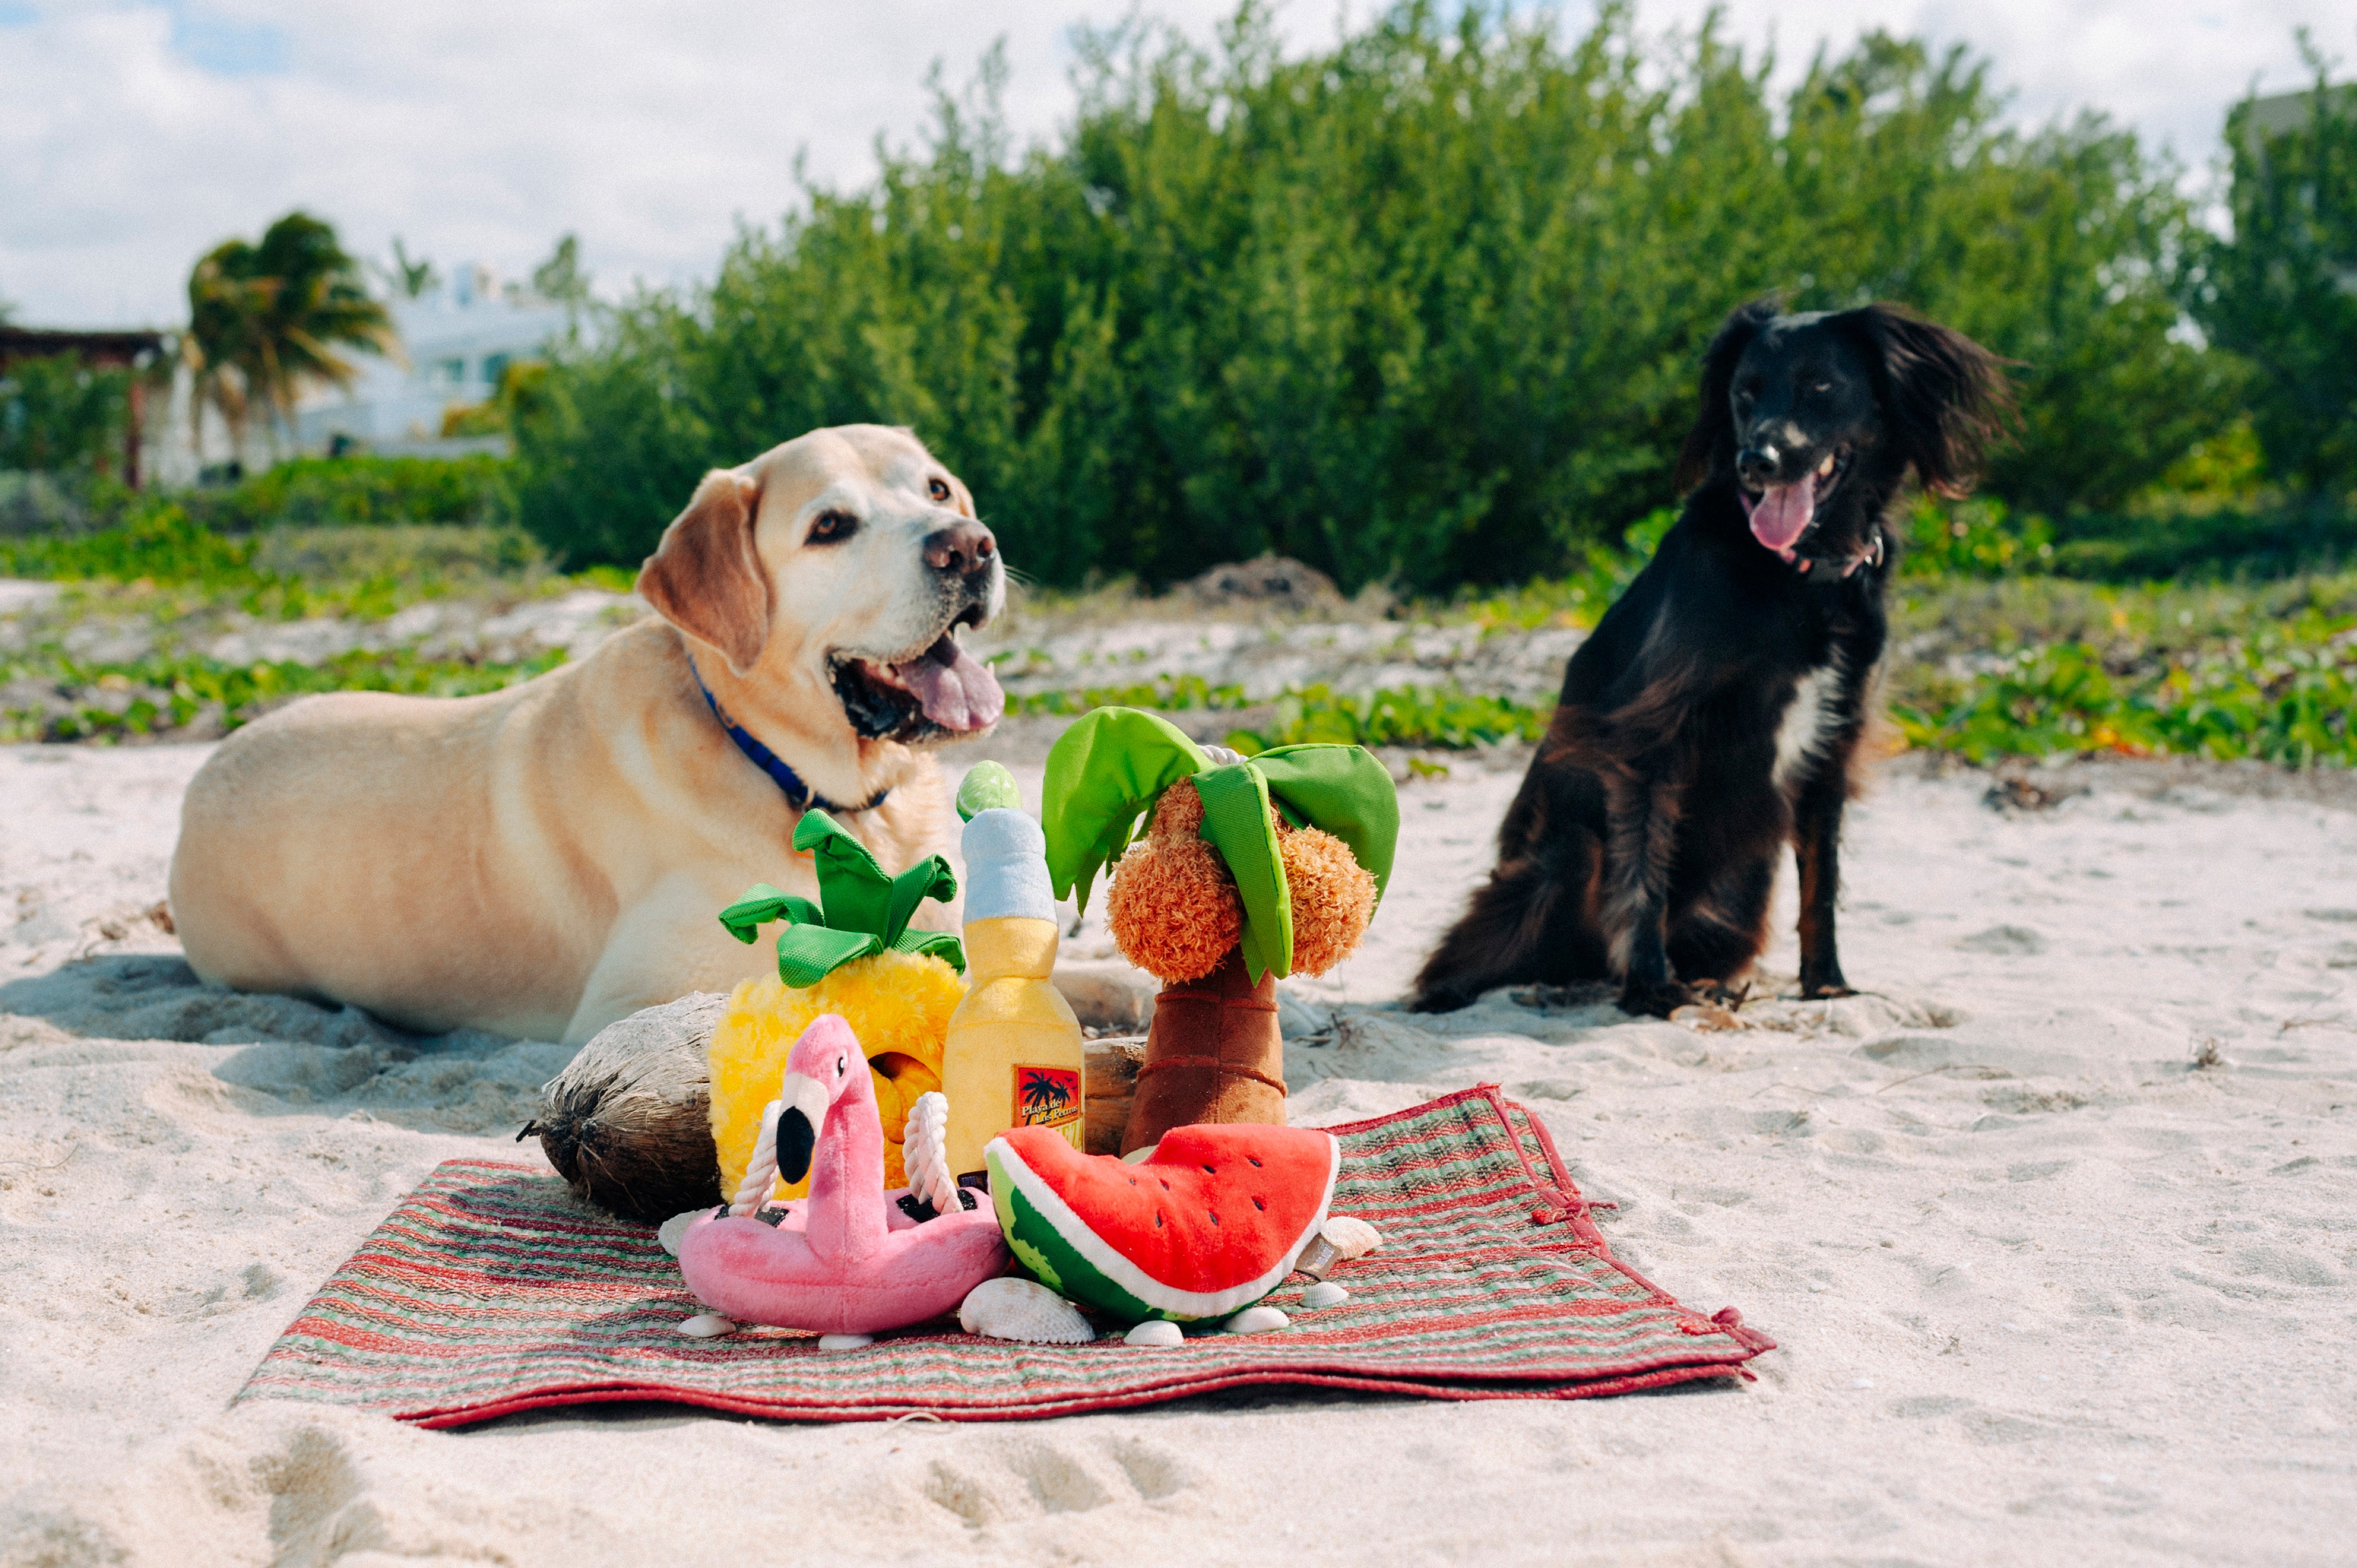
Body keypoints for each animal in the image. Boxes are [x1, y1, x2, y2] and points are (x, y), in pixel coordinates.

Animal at [1405, 297, 2018, 1014]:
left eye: (1820, 385)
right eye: (1743, 394)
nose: (1758, 460)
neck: (1799, 574)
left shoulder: (1836, 738)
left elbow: (1823, 881)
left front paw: (1826, 982)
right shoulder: (1652, 730)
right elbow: (1643, 868)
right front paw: (1649, 986)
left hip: (1741, 893)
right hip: (1565, 855)